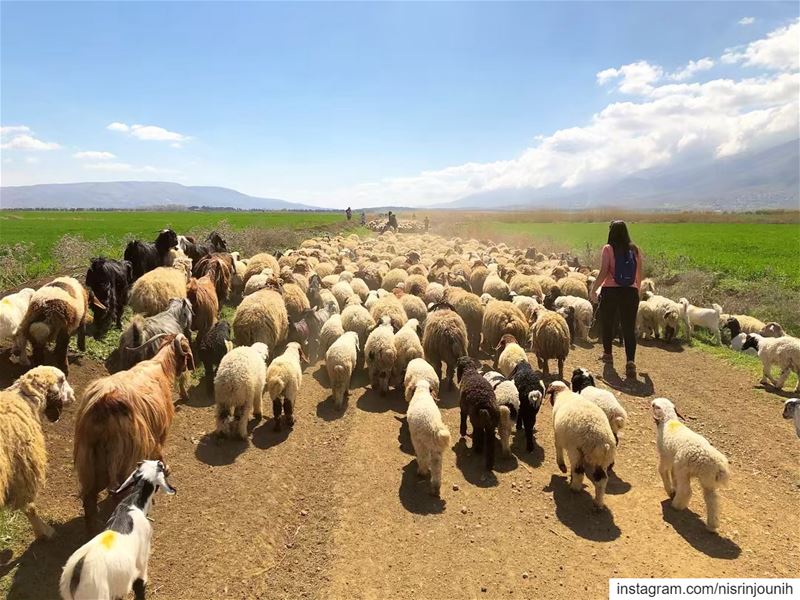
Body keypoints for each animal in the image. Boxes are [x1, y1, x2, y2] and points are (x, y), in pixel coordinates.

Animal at [0, 366, 74, 540]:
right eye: (62, 379)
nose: (73, 395)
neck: (24, 400)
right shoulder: (23, 472)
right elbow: (29, 508)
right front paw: (43, 531)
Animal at [652, 398, 728, 528]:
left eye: (654, 405)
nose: (651, 402)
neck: (669, 421)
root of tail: (718, 466)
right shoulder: (673, 462)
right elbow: (673, 475)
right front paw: (674, 489)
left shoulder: (666, 457)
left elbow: (662, 470)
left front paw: (670, 490)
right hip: (708, 480)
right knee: (712, 500)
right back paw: (712, 525)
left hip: (684, 470)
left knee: (686, 491)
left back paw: (676, 505)